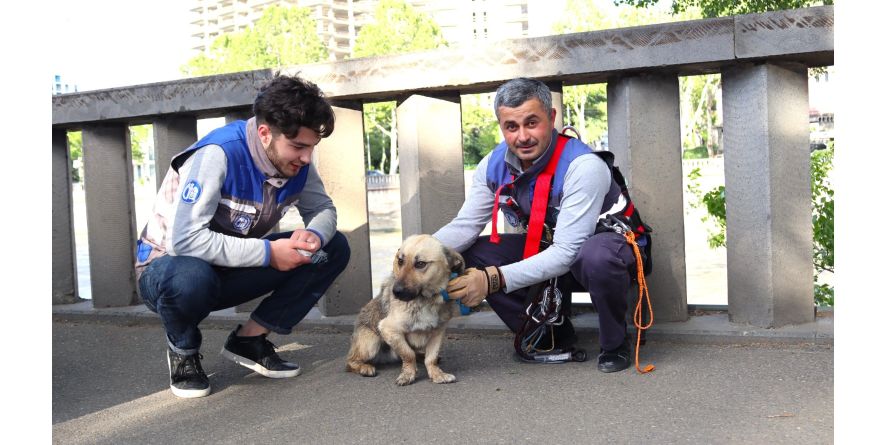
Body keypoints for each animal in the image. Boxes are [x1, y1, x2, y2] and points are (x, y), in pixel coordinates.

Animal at [346, 234, 468, 384]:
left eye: (420, 264)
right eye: (400, 261)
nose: (395, 292)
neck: (425, 301)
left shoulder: (438, 332)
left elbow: (431, 358)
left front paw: (437, 374)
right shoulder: (388, 329)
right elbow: (408, 354)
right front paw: (408, 374)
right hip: (371, 342)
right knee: (350, 362)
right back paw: (364, 367)